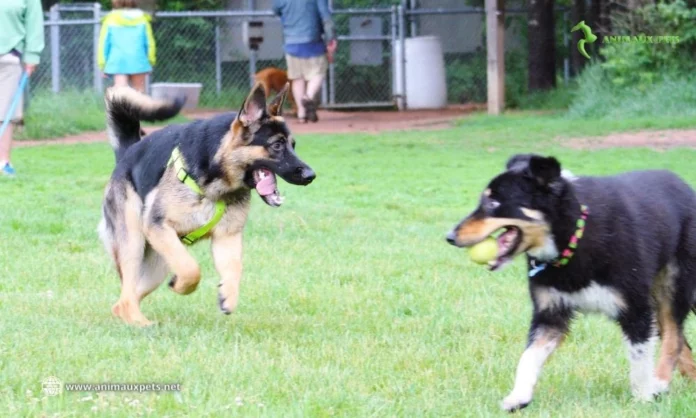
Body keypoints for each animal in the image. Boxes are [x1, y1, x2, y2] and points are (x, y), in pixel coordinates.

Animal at [98, 81, 316, 324]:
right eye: (277, 145)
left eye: (293, 145)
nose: (311, 175)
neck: (216, 179)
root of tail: (127, 153)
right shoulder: (158, 225)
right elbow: (191, 268)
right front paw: (182, 285)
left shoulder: (227, 237)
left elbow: (234, 268)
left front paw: (227, 295)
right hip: (135, 243)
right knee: (126, 297)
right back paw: (141, 323)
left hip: (158, 263)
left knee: (121, 301)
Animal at [446, 154, 696, 412]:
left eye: (494, 202)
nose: (450, 237)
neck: (573, 236)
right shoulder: (550, 313)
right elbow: (528, 358)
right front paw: (519, 396)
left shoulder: (636, 310)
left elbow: (639, 360)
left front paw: (643, 398)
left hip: (673, 285)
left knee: (674, 338)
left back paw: (660, 382)